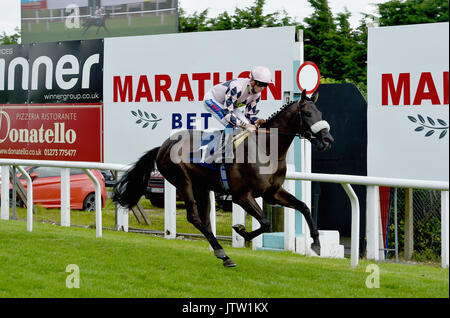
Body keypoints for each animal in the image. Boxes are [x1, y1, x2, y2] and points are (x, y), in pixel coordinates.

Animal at [114, 89, 334, 266]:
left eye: (320, 113)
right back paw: (223, 252)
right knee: (194, 217)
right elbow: (265, 222)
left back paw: (222, 254)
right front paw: (241, 230)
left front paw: (316, 243)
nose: (327, 139)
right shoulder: (241, 195)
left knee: (205, 221)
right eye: (307, 113)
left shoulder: (273, 193)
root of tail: (163, 146)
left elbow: (304, 207)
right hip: (183, 181)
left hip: (202, 187)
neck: (266, 148)